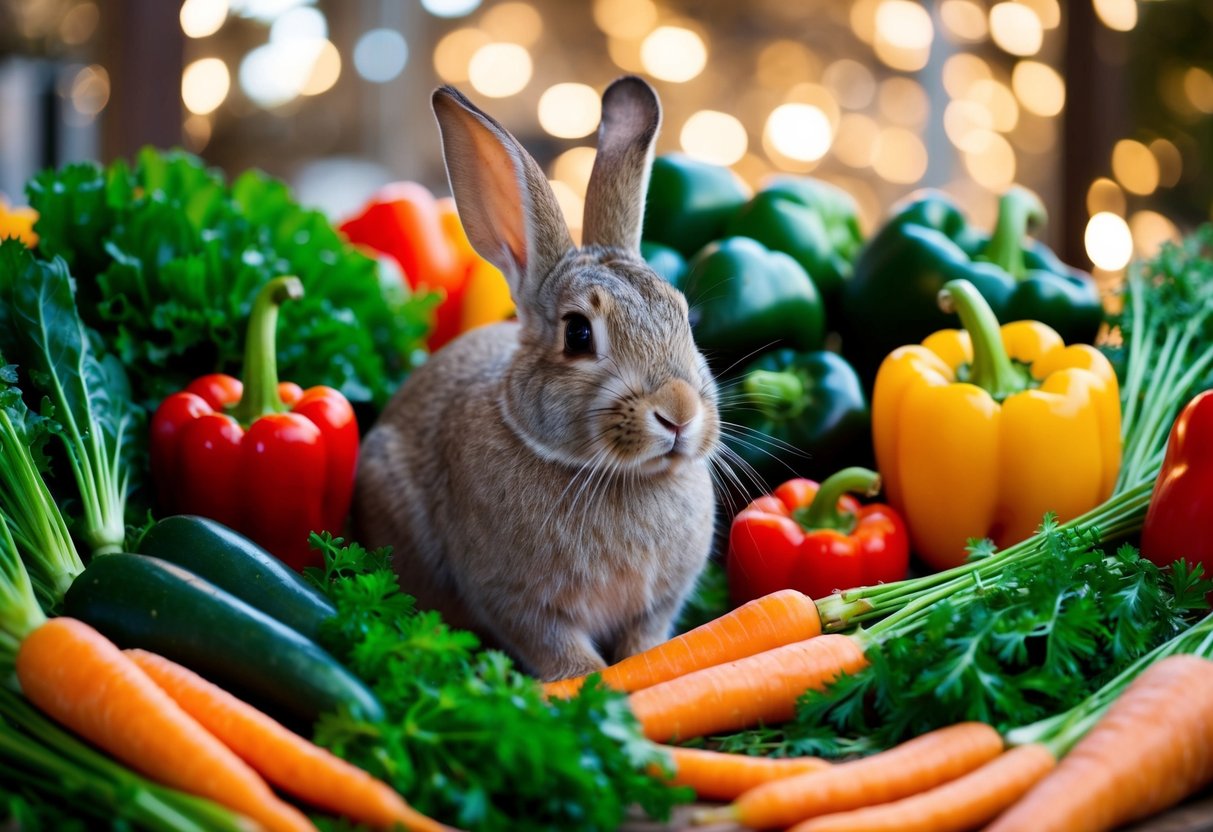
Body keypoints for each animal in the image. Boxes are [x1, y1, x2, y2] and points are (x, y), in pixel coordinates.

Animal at [353, 75, 721, 682]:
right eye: (578, 334)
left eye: (685, 315)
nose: (679, 412)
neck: (617, 477)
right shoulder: (518, 601)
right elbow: (563, 654)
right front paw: (592, 682)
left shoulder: (657, 605)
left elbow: (647, 644)